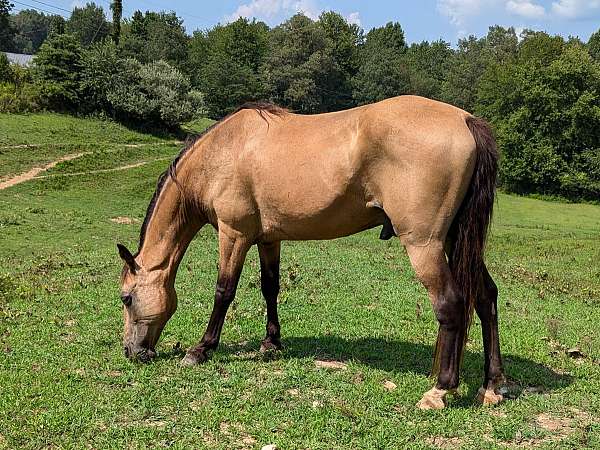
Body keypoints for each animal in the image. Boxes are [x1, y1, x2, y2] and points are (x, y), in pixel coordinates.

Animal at [119, 96, 504, 410]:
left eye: (126, 298)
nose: (131, 352)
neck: (224, 151)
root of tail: (466, 120)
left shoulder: (234, 235)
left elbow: (224, 292)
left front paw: (201, 349)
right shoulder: (267, 239)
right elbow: (270, 288)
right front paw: (271, 342)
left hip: (425, 245)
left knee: (451, 305)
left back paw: (440, 390)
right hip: (455, 241)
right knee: (486, 297)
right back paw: (492, 385)